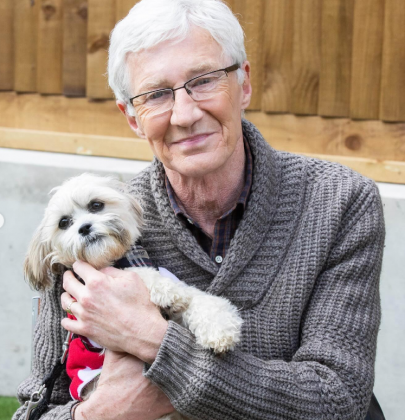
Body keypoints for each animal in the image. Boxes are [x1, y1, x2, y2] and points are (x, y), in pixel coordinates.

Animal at [25, 173, 243, 416]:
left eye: (96, 205)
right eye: (63, 223)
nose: (84, 228)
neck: (114, 260)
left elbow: (202, 299)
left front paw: (220, 329)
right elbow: (141, 274)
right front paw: (167, 291)